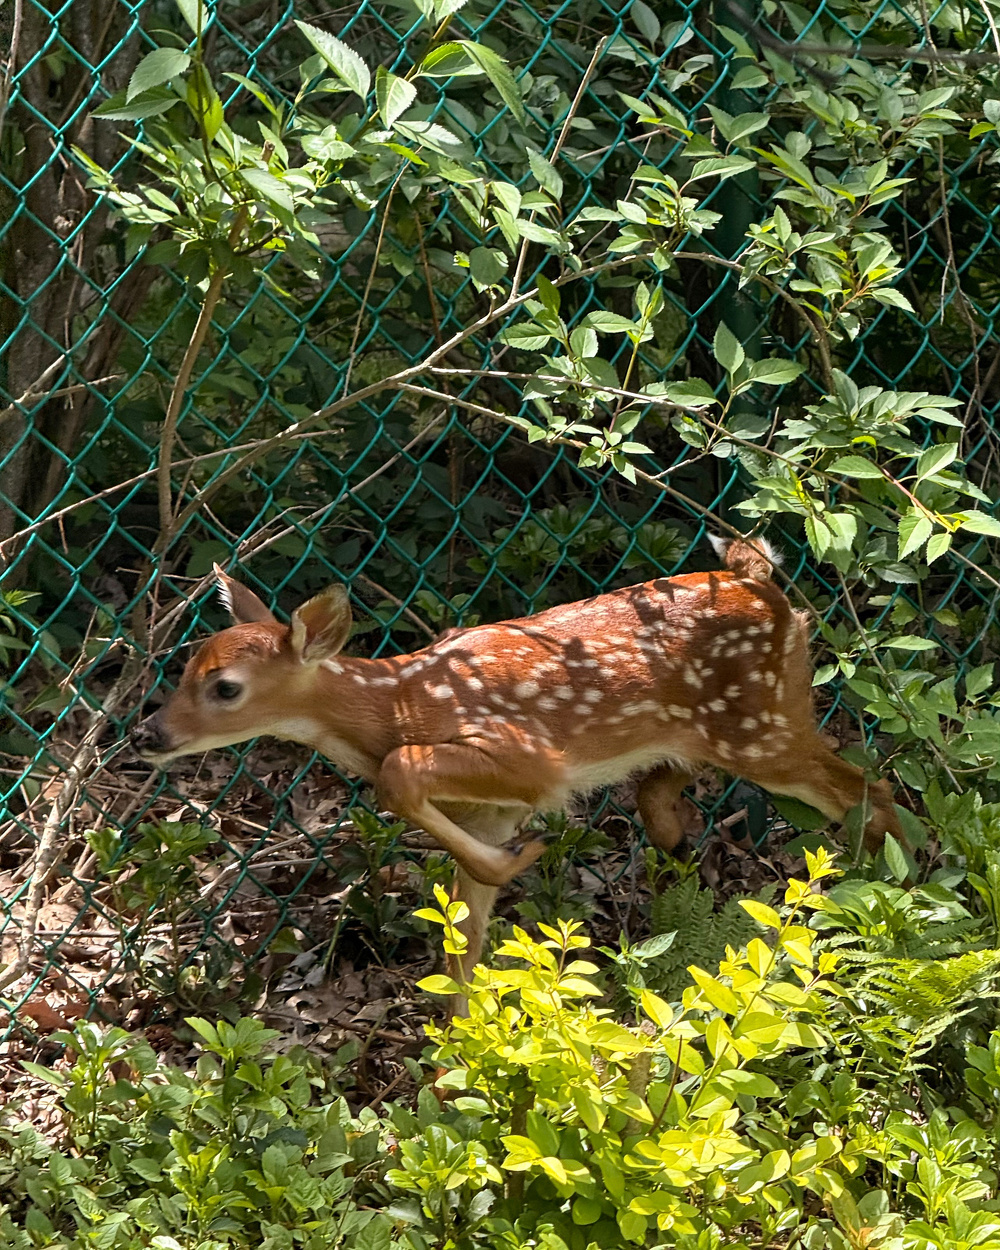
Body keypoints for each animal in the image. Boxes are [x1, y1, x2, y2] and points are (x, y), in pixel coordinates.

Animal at [130, 538, 903, 1004]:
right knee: (666, 792)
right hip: (704, 736)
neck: (398, 705)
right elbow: (460, 933)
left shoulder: (530, 758)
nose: (150, 733)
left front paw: (521, 859)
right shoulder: (487, 809)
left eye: (225, 687)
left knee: (870, 790)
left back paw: (880, 903)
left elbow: (400, 776)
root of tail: (761, 583)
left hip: (763, 725)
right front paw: (462, 1061)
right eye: (185, 665)